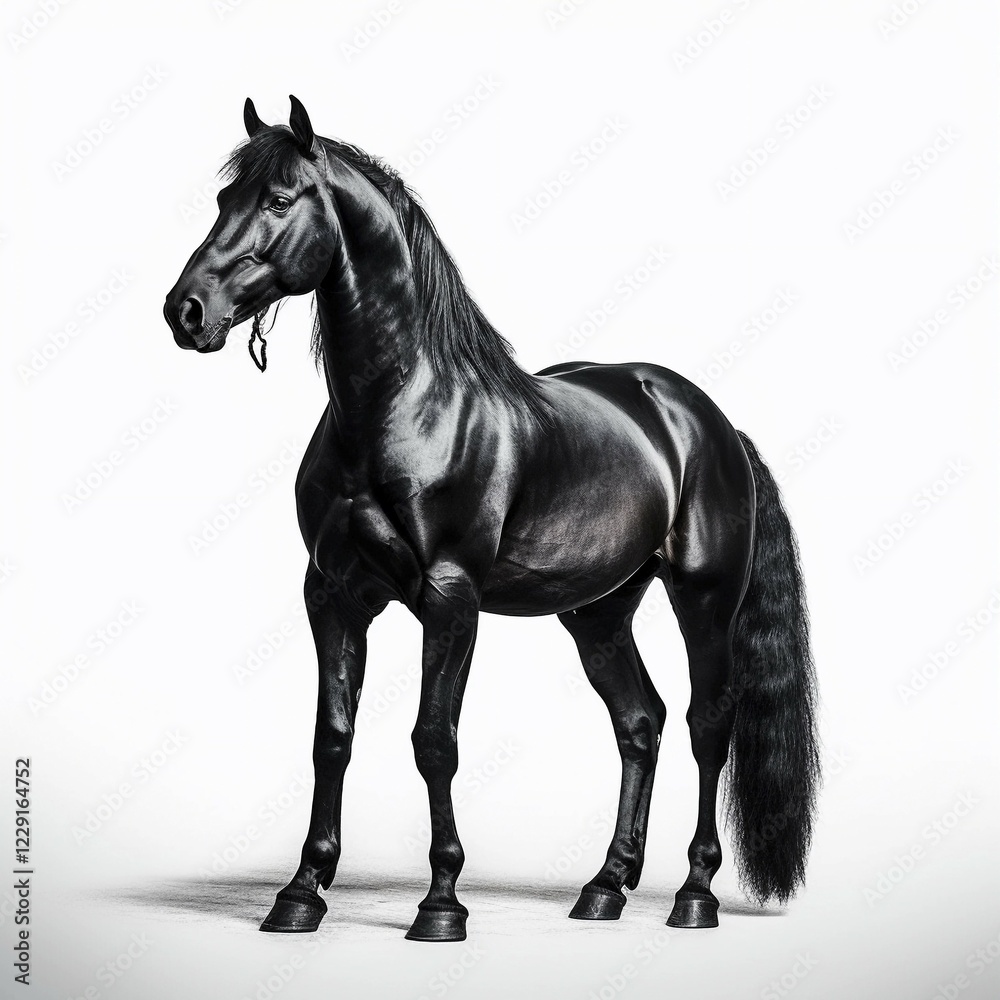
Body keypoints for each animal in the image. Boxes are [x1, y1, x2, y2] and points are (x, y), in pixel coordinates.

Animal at [163, 96, 820, 942]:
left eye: (278, 199)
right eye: (223, 200)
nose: (186, 311)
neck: (403, 405)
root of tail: (708, 420)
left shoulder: (451, 598)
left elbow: (433, 741)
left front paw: (441, 902)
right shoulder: (332, 595)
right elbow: (331, 740)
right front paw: (302, 892)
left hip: (703, 600)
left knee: (710, 726)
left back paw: (694, 895)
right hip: (599, 613)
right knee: (639, 723)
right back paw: (604, 887)